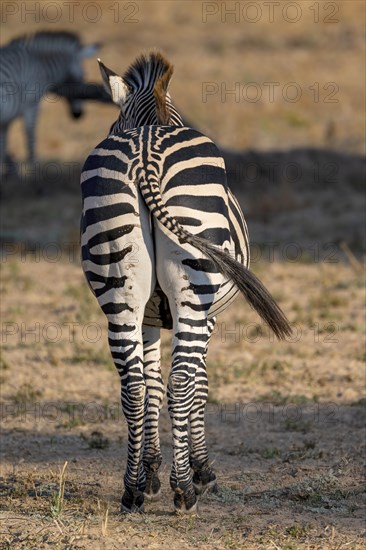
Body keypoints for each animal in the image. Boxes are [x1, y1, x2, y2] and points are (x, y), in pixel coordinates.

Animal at [0, 30, 100, 172]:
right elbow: (30, 142)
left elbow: (3, 148)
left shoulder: (6, 120)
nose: (78, 115)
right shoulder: (32, 106)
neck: (40, 63)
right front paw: (33, 175)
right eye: (84, 75)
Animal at [81, 52, 292, 516]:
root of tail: (145, 153)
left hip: (119, 288)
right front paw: (200, 470)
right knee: (180, 382)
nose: (198, 478)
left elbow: (151, 385)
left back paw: (132, 491)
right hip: (194, 292)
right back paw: (185, 491)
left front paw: (151, 473)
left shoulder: (148, 317)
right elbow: (198, 384)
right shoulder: (208, 317)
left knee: (133, 386)